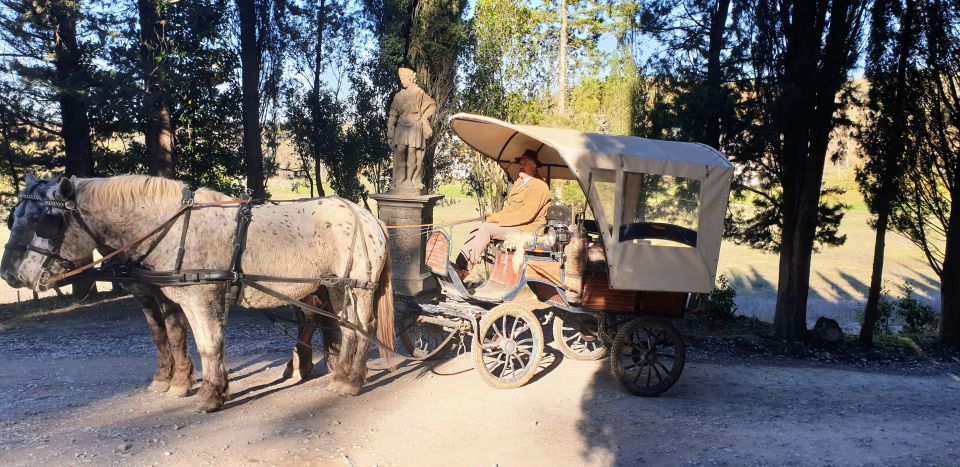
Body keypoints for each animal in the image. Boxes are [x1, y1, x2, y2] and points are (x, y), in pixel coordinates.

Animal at [1, 176, 394, 414]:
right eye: (13, 218)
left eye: (42, 222)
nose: (9, 275)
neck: (173, 227)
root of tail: (366, 216)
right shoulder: (172, 297)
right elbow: (176, 338)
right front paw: (196, 386)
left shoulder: (198, 298)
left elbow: (207, 344)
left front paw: (210, 394)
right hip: (336, 287)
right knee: (346, 327)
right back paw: (338, 375)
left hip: (356, 288)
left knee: (362, 327)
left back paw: (351, 381)